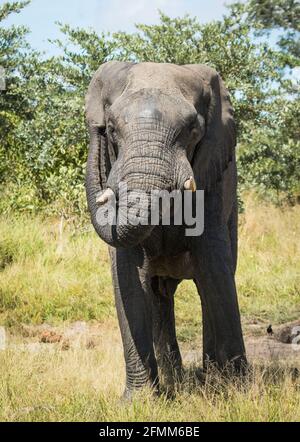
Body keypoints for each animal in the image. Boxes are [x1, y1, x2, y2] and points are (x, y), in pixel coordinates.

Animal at [84, 59, 246, 398]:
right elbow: (127, 273)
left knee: (207, 284)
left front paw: (239, 393)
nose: (98, 127)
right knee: (160, 295)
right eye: (112, 129)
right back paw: (176, 382)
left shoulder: (213, 176)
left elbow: (215, 267)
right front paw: (140, 401)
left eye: (193, 130)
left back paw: (209, 379)